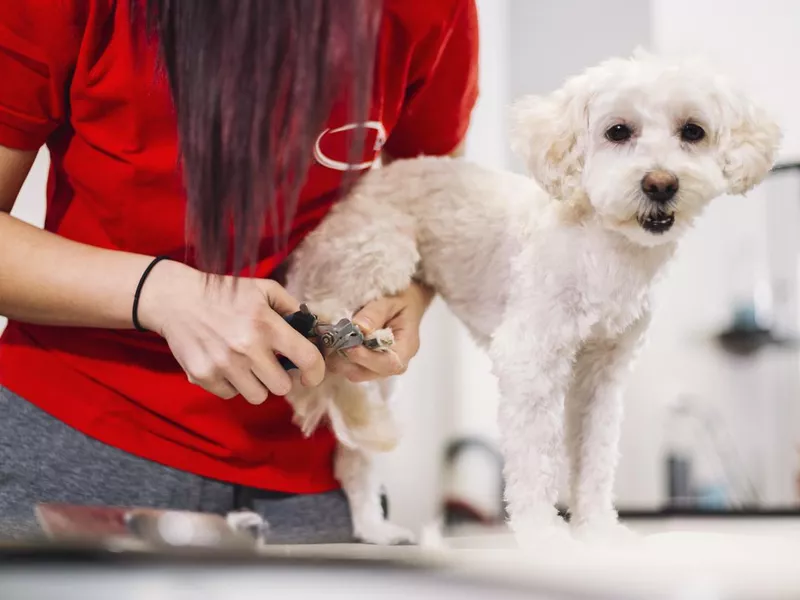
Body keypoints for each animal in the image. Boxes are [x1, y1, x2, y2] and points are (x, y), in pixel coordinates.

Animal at [282, 51, 780, 548]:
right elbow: (536, 458)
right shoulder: (531, 359)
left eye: (692, 131)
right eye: (618, 131)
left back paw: (374, 528)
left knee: (355, 454)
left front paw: (597, 529)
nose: (660, 184)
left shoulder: (601, 373)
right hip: (375, 264)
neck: (602, 250)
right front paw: (543, 534)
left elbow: (595, 458)